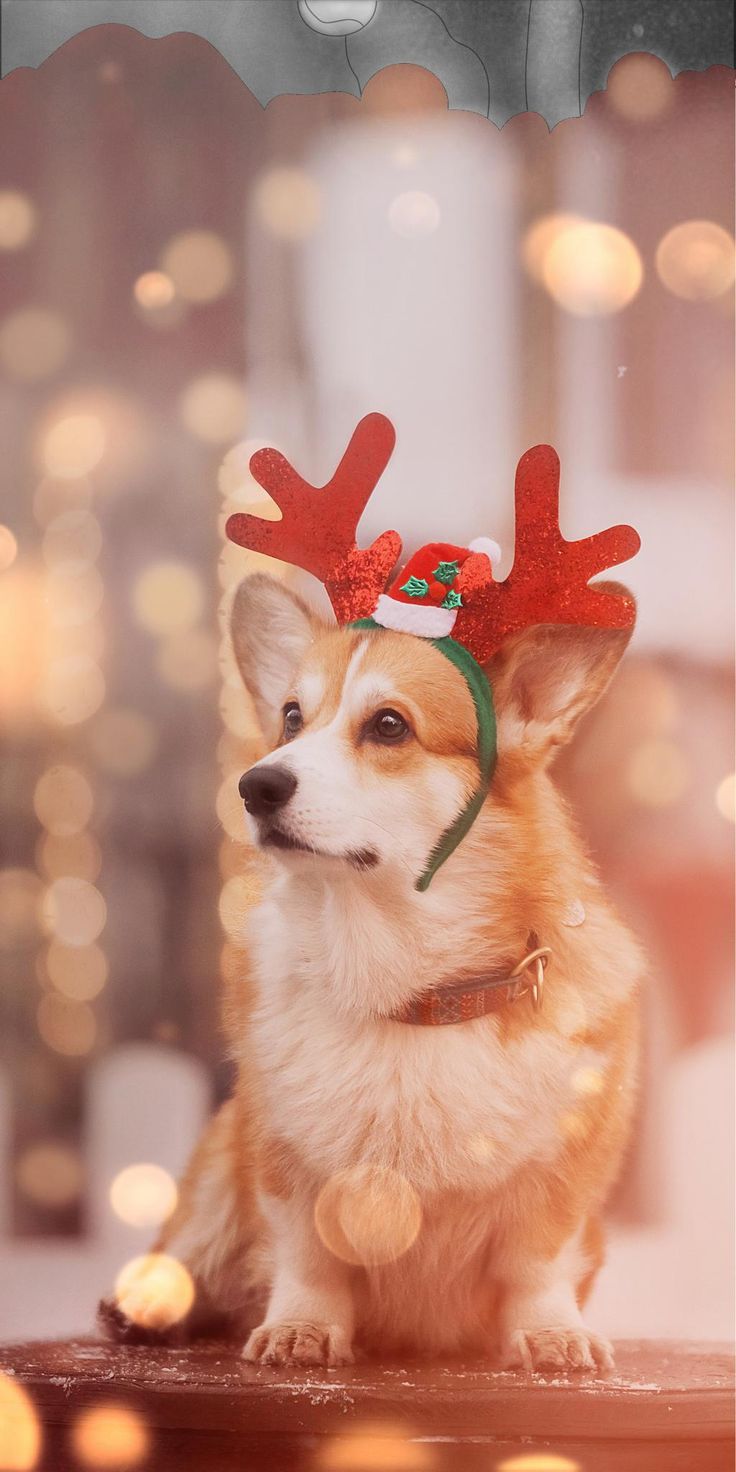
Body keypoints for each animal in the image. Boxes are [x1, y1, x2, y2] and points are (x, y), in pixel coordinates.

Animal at [105, 568, 644, 1371]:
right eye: (291, 718)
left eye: (389, 726)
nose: (255, 786)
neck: (405, 990)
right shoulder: (285, 1164)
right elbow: (308, 1258)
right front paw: (300, 1327)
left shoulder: (560, 1181)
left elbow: (536, 1266)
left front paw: (552, 1333)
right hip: (216, 1167)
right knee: (190, 1247)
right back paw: (144, 1306)